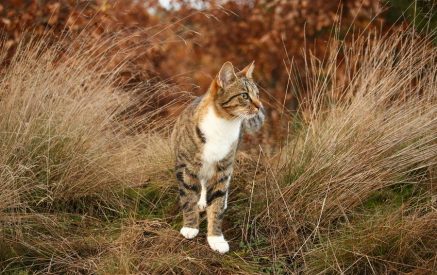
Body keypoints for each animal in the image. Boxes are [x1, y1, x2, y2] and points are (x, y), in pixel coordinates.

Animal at [171, 61, 264, 254]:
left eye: (257, 94)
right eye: (244, 95)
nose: (259, 105)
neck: (224, 125)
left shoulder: (223, 168)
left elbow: (218, 203)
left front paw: (216, 239)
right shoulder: (185, 168)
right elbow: (188, 198)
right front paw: (190, 227)